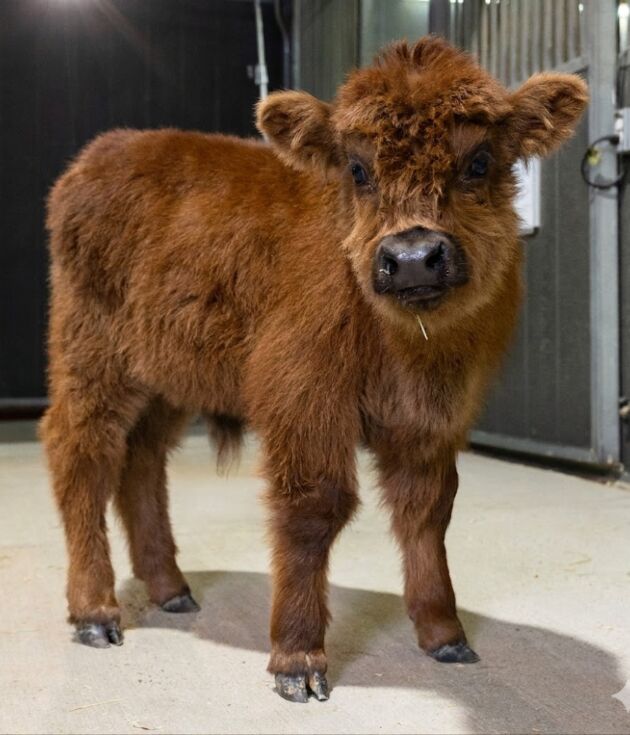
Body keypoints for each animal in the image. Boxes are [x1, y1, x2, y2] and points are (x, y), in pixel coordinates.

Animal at [41, 36, 588, 702]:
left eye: (479, 161)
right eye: (357, 169)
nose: (412, 257)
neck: (410, 350)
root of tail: (99, 156)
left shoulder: (435, 421)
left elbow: (428, 510)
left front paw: (444, 634)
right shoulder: (304, 402)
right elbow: (314, 510)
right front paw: (297, 659)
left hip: (165, 381)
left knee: (140, 463)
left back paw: (171, 590)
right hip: (93, 361)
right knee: (83, 455)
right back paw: (95, 612)